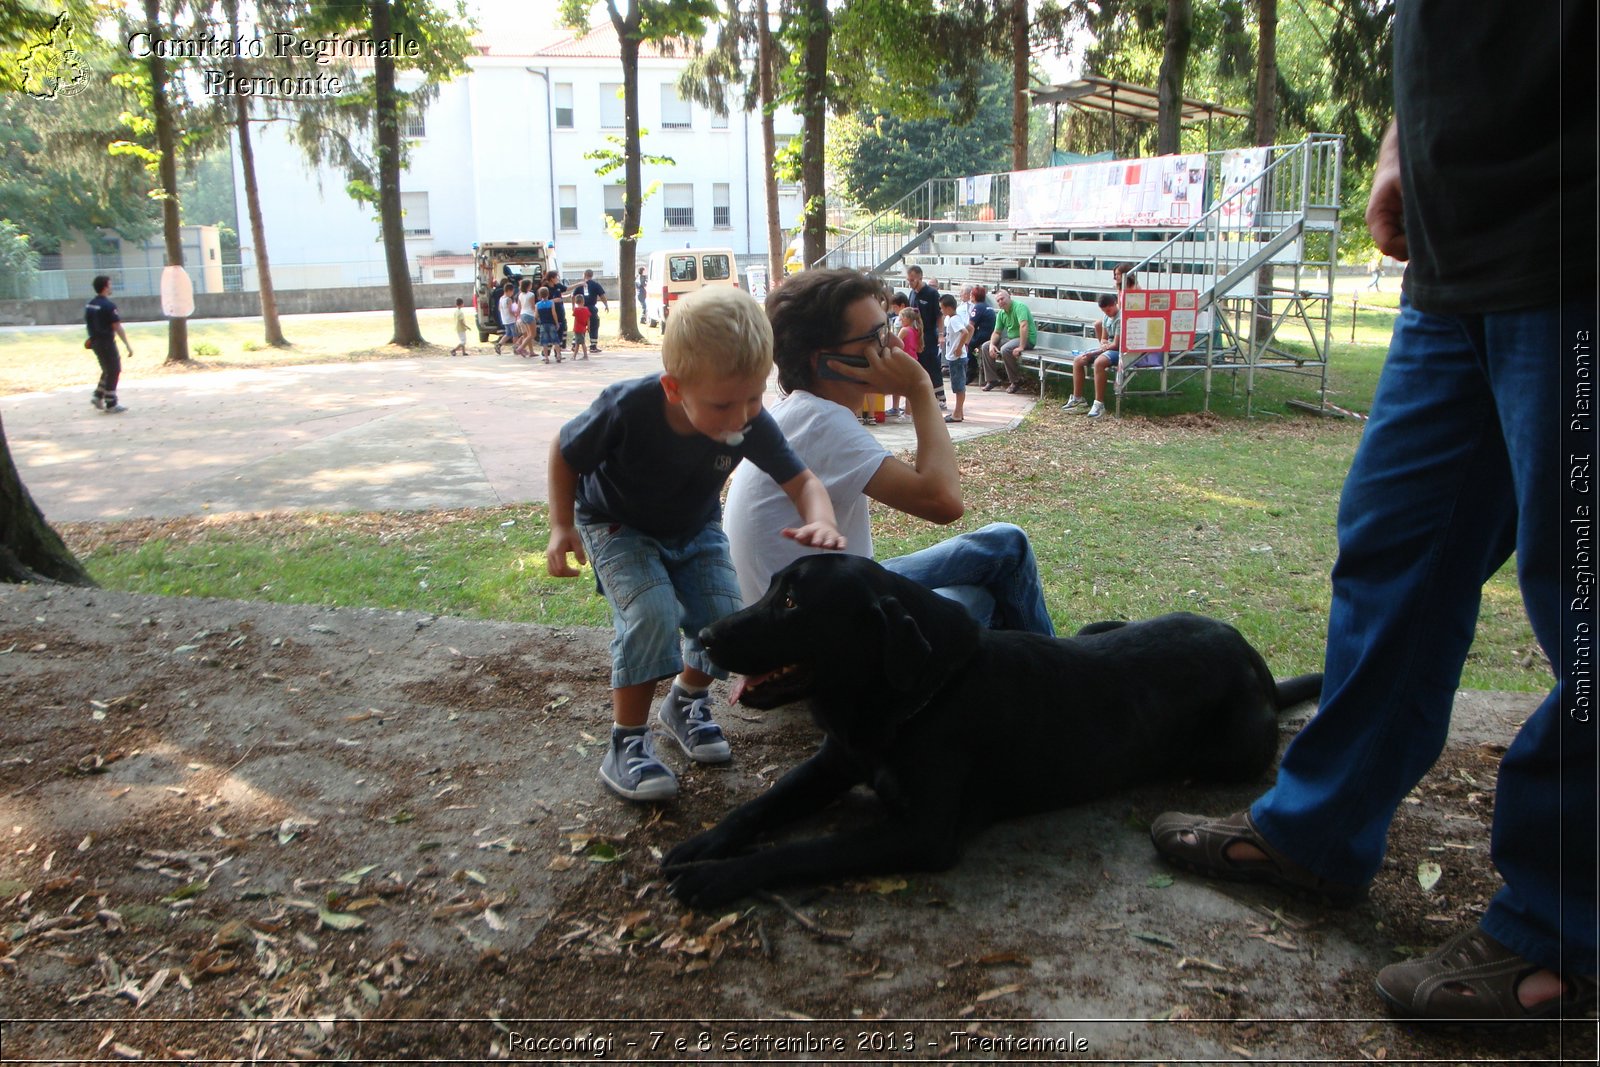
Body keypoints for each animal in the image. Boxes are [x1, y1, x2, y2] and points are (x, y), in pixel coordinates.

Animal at [659, 556, 1312, 915]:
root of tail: (1256, 663)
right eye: (773, 588)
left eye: (793, 602)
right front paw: (702, 845)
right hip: (1099, 627)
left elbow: (803, 850)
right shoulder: (835, 762)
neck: (920, 694)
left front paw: (717, 876)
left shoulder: (924, 833)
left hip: (1230, 754)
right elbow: (760, 807)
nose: (706, 637)